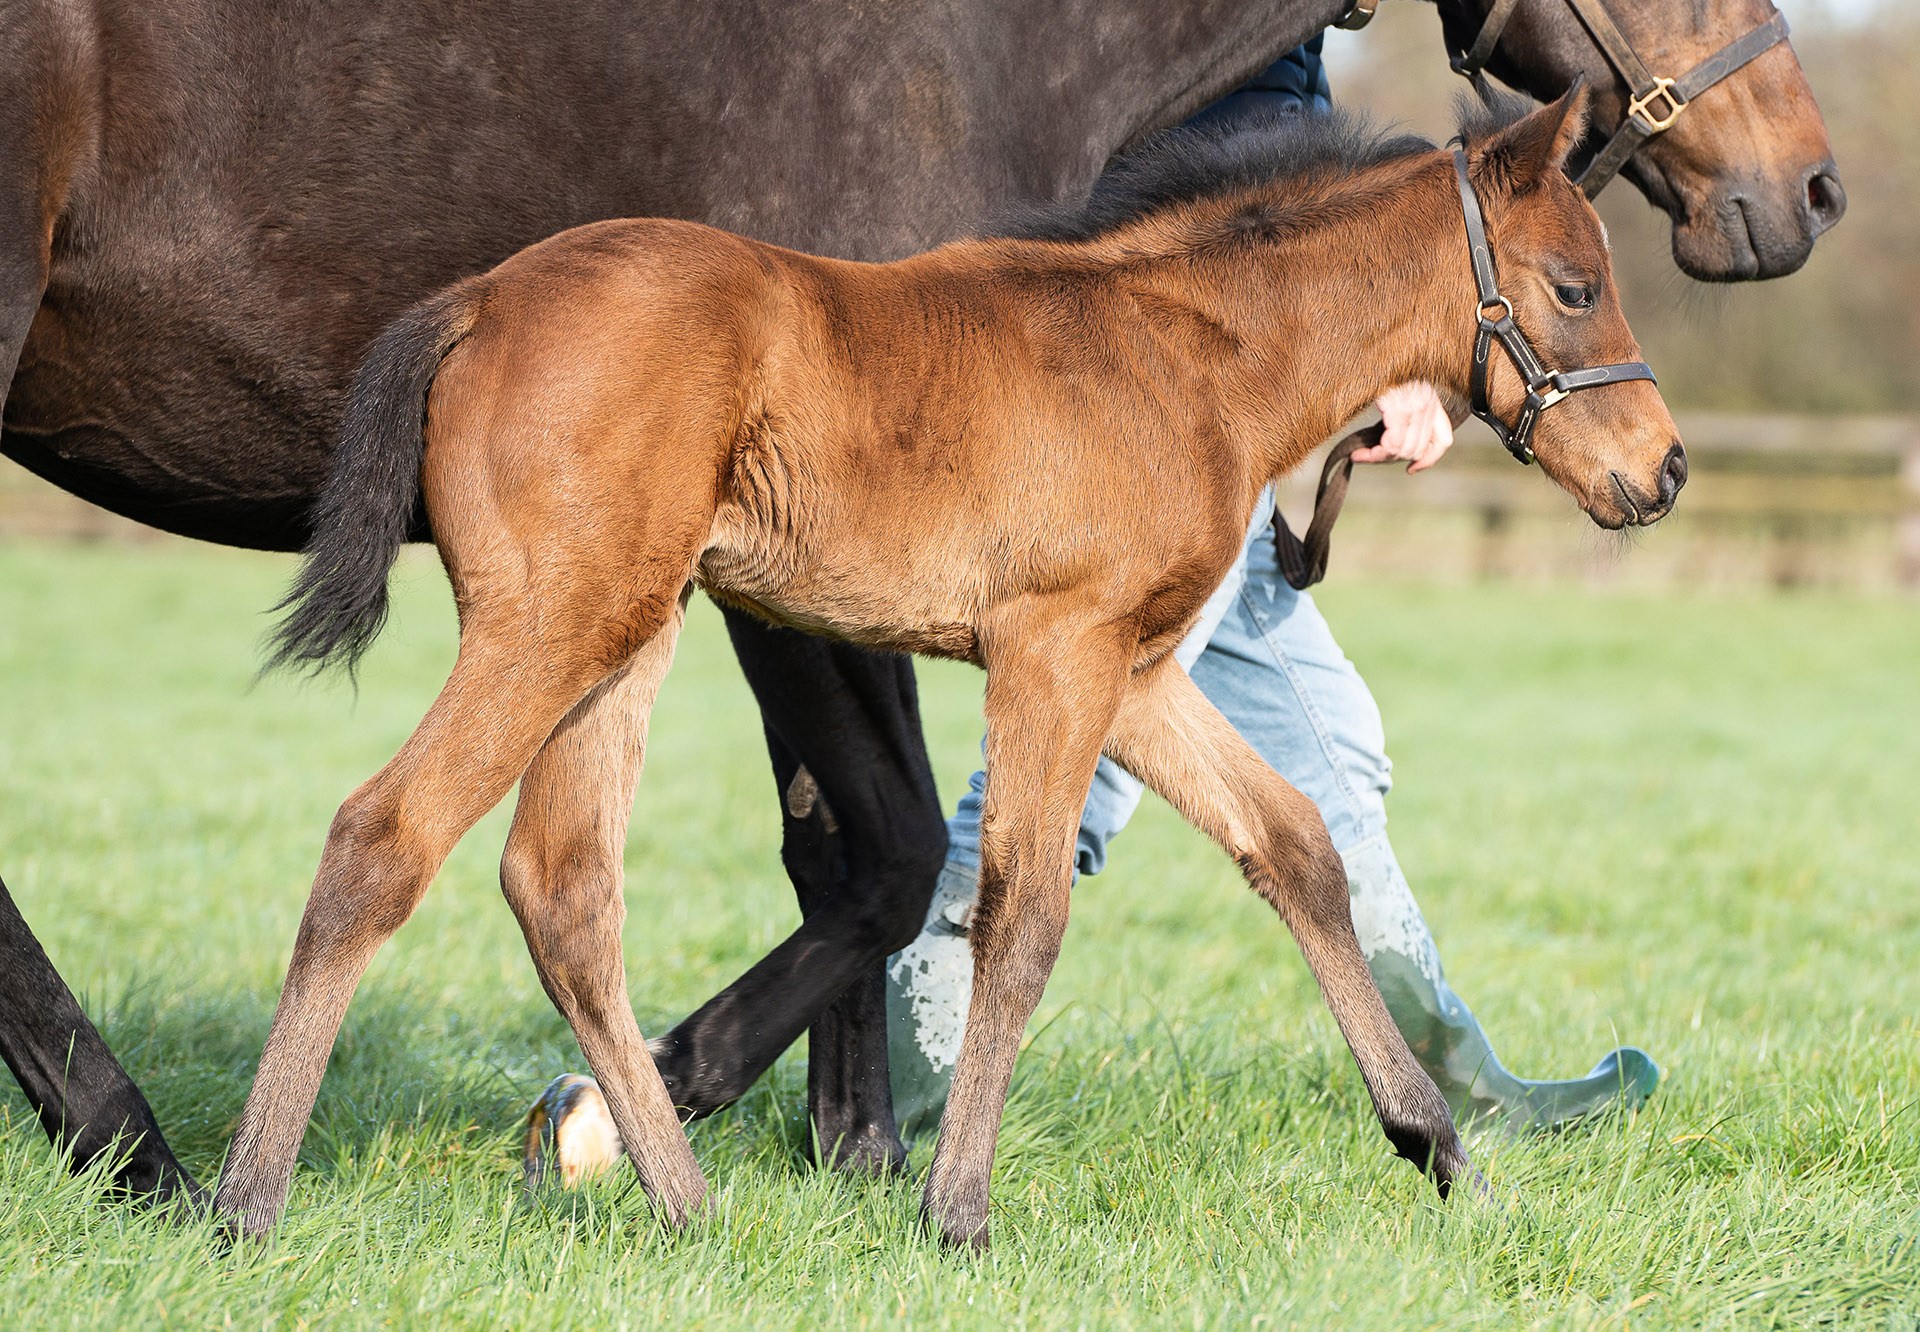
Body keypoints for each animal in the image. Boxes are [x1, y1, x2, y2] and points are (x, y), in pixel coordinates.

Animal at [228, 88, 1681, 1243]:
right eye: (1572, 287)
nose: (1662, 470)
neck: (1180, 356)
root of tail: (478, 300)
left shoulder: (1135, 672)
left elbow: (1297, 848)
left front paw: (1444, 1158)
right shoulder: (1053, 650)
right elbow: (1023, 913)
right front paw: (960, 1210)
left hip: (626, 635)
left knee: (564, 888)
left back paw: (688, 1206)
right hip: (550, 625)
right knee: (384, 836)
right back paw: (245, 1201)